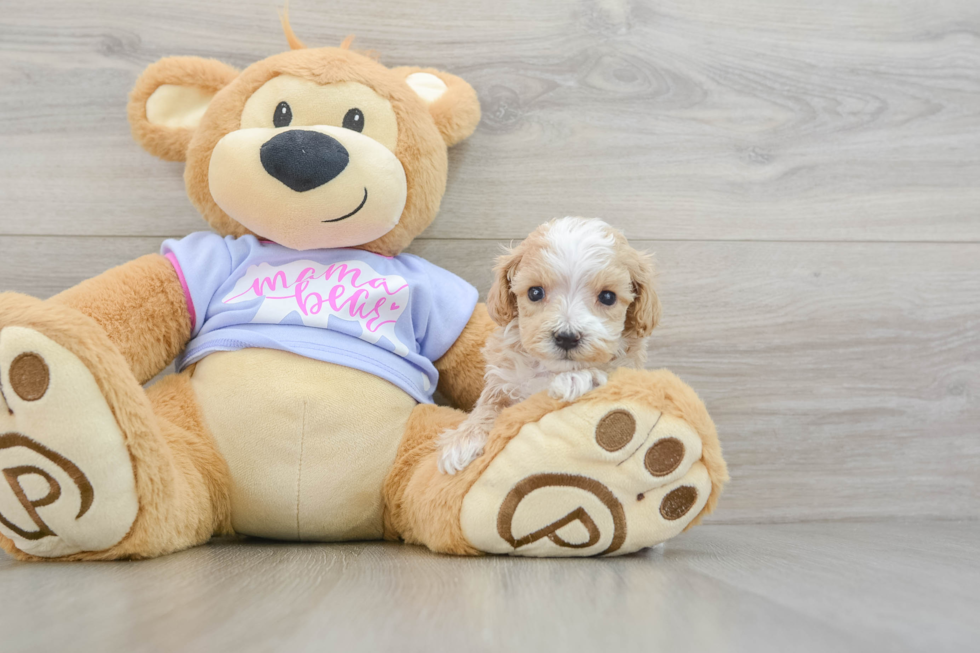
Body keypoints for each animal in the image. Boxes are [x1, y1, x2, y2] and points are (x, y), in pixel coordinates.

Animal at [440, 216, 664, 472]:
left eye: (608, 297)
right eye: (535, 292)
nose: (566, 337)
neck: (551, 371)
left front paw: (577, 379)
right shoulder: (503, 381)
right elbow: (487, 405)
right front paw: (463, 440)